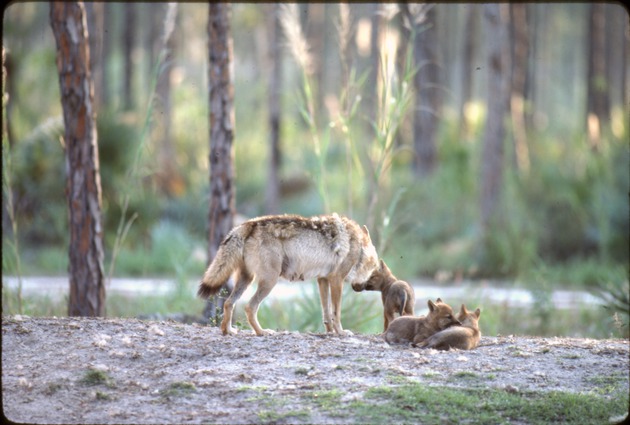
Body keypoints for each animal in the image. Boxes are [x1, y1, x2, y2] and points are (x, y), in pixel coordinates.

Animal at [196, 214, 380, 336]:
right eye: (375, 267)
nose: (363, 287)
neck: (358, 246)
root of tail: (250, 223)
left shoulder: (323, 280)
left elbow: (326, 312)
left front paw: (330, 332)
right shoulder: (336, 280)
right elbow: (337, 313)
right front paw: (341, 332)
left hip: (247, 279)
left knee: (229, 303)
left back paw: (228, 331)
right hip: (269, 281)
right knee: (250, 307)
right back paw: (262, 332)